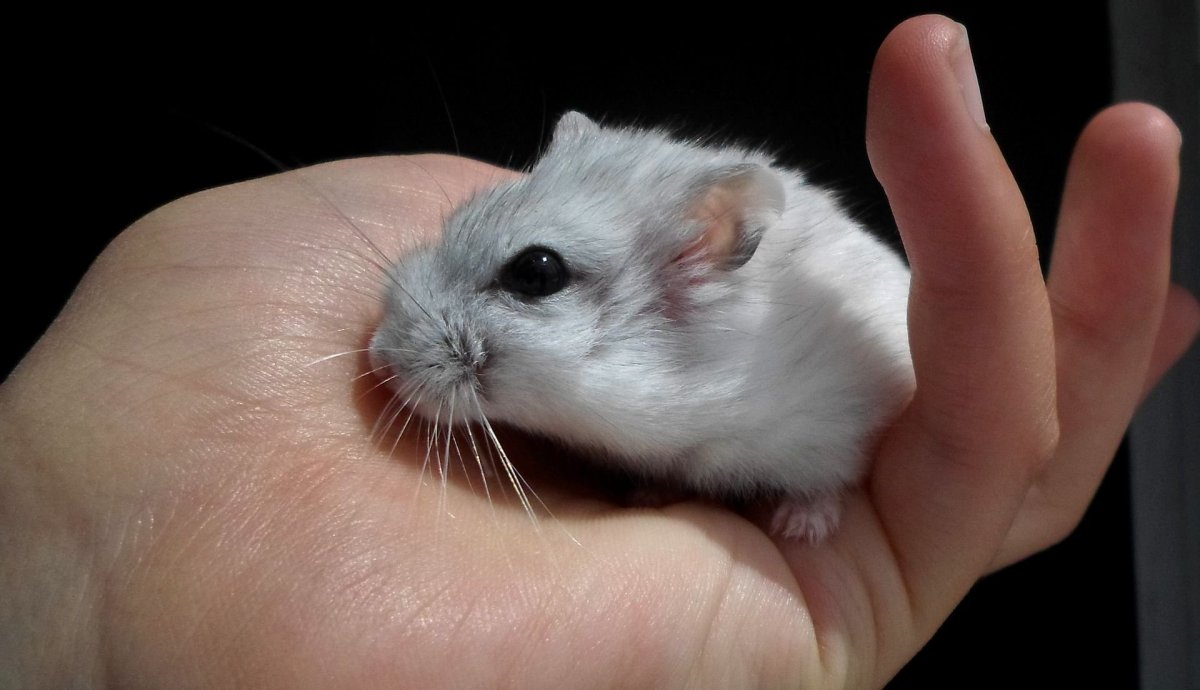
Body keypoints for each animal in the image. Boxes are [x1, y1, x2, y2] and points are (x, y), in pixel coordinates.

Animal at [369, 111, 914, 541]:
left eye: (537, 273)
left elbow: (827, 482)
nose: (378, 359)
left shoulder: (834, 426)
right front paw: (649, 493)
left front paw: (800, 527)